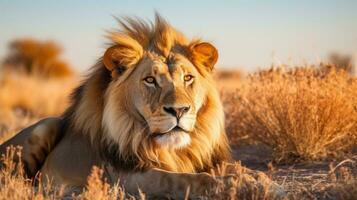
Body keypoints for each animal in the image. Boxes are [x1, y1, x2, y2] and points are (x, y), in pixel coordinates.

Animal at [0, 14, 284, 198]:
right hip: (46, 125)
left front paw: (260, 181)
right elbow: (183, 179)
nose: (179, 110)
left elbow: (235, 169)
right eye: (150, 80)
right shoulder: (127, 176)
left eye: (187, 78)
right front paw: (243, 185)